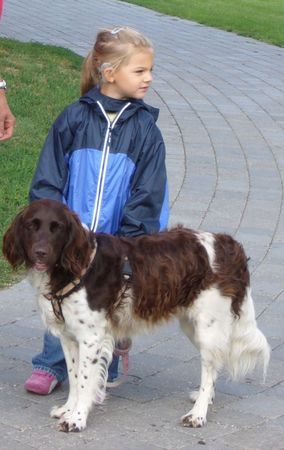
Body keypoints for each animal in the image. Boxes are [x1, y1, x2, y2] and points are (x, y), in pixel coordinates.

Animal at [2, 200, 270, 432]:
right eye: (32, 226)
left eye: (57, 228)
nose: (40, 253)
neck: (75, 268)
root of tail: (230, 244)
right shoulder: (69, 337)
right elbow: (74, 376)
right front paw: (68, 409)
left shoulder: (91, 338)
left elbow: (85, 380)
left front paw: (77, 418)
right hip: (193, 325)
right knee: (213, 365)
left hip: (208, 326)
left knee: (210, 366)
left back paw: (198, 414)